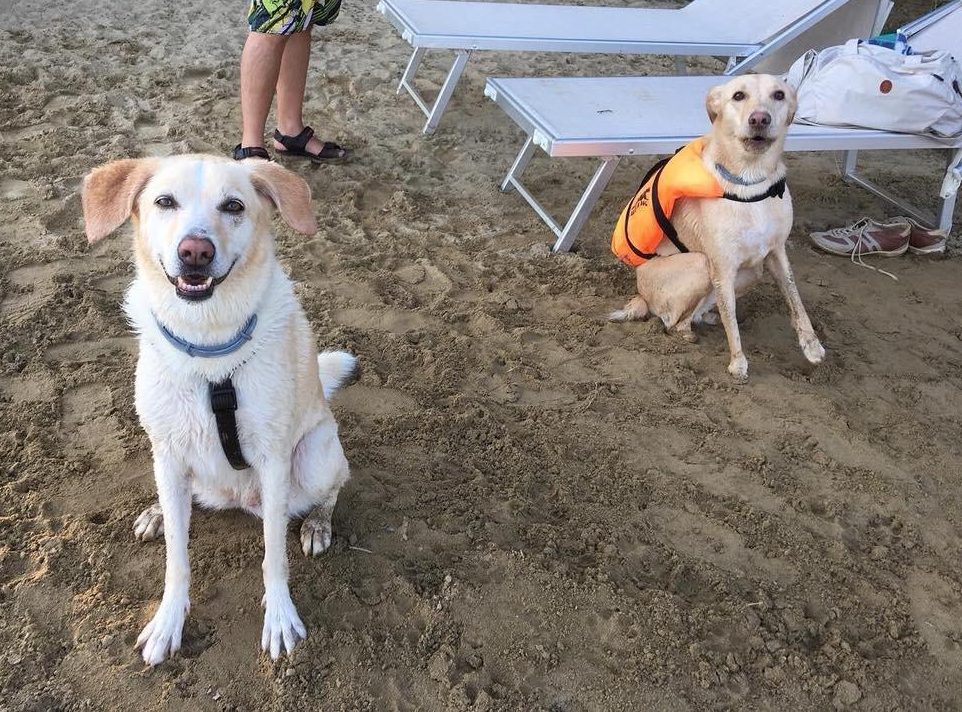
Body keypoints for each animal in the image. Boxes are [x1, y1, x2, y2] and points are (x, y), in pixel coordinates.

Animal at [81, 156, 356, 668]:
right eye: (164, 201)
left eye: (234, 206)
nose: (195, 251)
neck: (208, 347)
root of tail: (237, 498)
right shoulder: (168, 451)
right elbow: (177, 559)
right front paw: (168, 621)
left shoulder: (273, 460)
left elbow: (274, 556)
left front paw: (280, 617)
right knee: (183, 500)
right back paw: (157, 512)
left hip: (315, 456)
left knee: (332, 488)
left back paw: (317, 524)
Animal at [612, 74, 820, 382]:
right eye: (738, 96)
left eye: (779, 95)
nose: (760, 119)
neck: (750, 183)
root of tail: (640, 295)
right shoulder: (721, 267)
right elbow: (730, 319)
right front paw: (738, 363)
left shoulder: (776, 253)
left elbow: (795, 300)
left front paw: (812, 345)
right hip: (700, 266)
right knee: (673, 322)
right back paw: (690, 331)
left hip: (752, 272)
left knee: (698, 313)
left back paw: (705, 317)